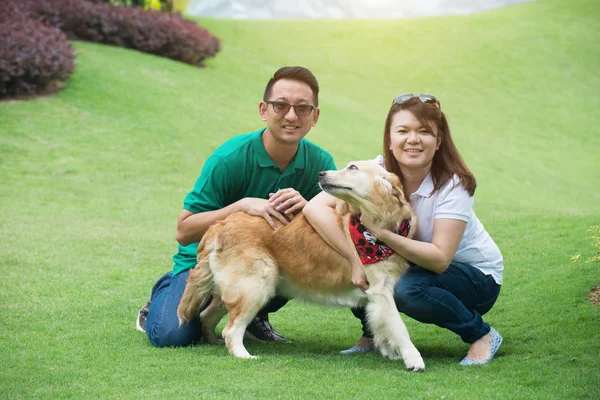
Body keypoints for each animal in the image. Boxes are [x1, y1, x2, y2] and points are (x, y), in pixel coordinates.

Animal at [176, 160, 424, 372]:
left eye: (352, 167)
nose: (321, 174)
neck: (376, 227)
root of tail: (219, 224)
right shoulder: (380, 291)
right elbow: (399, 327)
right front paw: (414, 360)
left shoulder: (377, 295)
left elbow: (382, 326)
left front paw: (389, 353)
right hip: (257, 285)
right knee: (231, 329)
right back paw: (243, 355)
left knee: (206, 316)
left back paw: (213, 341)